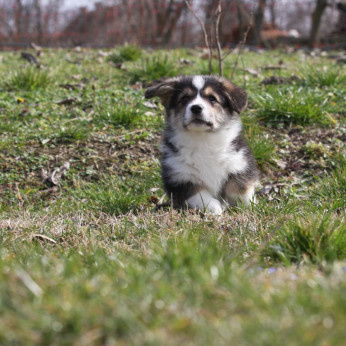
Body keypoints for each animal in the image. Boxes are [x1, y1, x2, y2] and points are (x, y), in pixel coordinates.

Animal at [145, 75, 258, 215]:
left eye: (212, 98)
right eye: (184, 98)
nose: (196, 108)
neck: (203, 139)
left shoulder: (239, 165)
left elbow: (240, 189)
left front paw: (249, 208)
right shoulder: (181, 178)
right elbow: (202, 197)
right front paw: (217, 210)